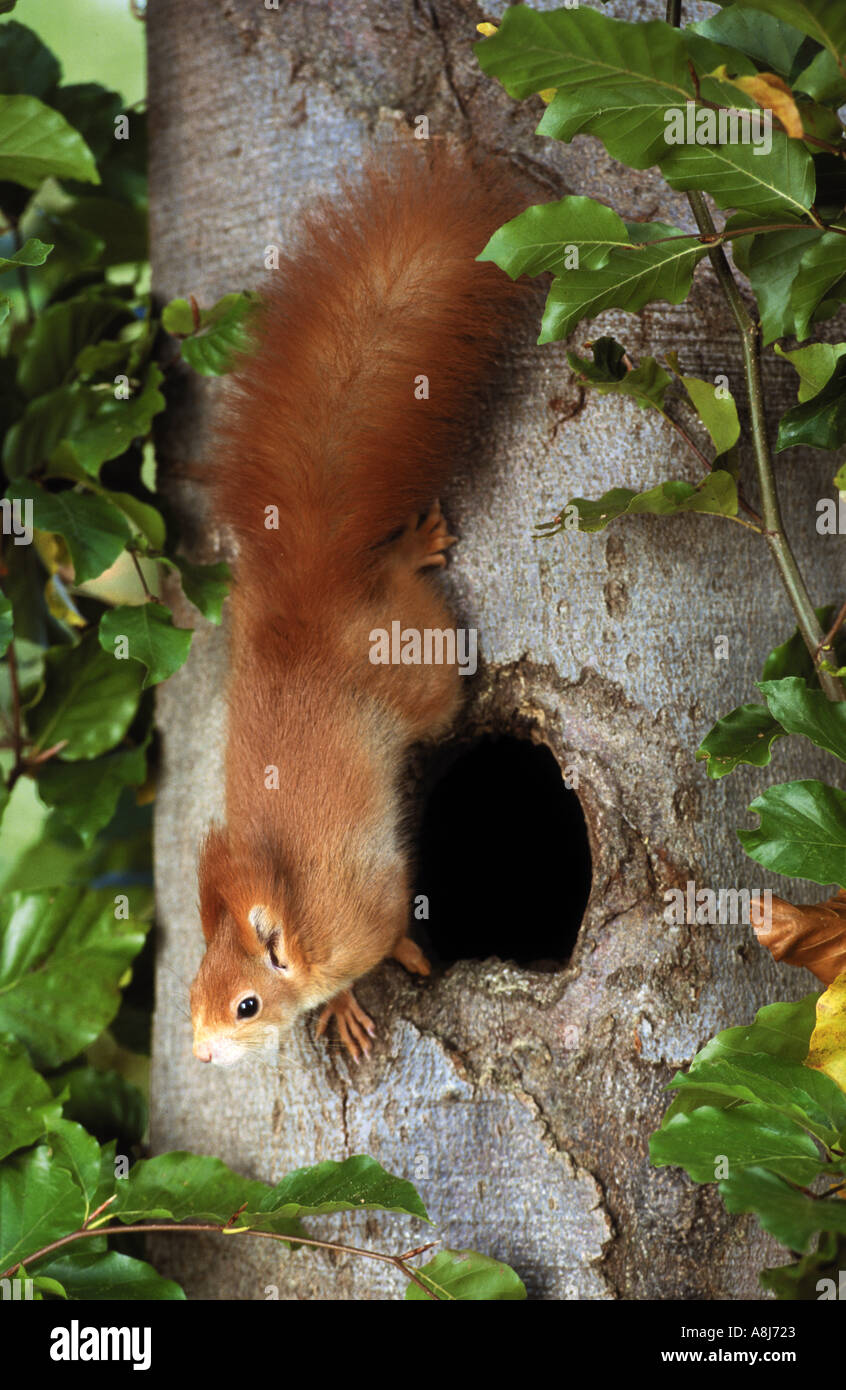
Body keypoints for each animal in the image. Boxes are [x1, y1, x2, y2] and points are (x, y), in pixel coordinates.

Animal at [189, 145, 523, 1066]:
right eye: (191, 993)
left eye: (246, 1006)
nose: (199, 1052)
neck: (300, 922)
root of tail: (306, 595)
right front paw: (339, 1006)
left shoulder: (365, 903)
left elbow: (391, 928)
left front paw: (395, 963)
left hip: (417, 668)